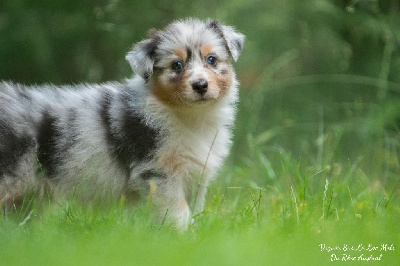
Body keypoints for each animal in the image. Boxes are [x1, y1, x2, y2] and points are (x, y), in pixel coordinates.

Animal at [0, 18, 244, 231]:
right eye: (177, 65)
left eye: (212, 59)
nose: (200, 85)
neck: (188, 116)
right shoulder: (158, 172)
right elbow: (178, 212)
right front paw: (184, 236)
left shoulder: (195, 175)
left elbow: (193, 209)